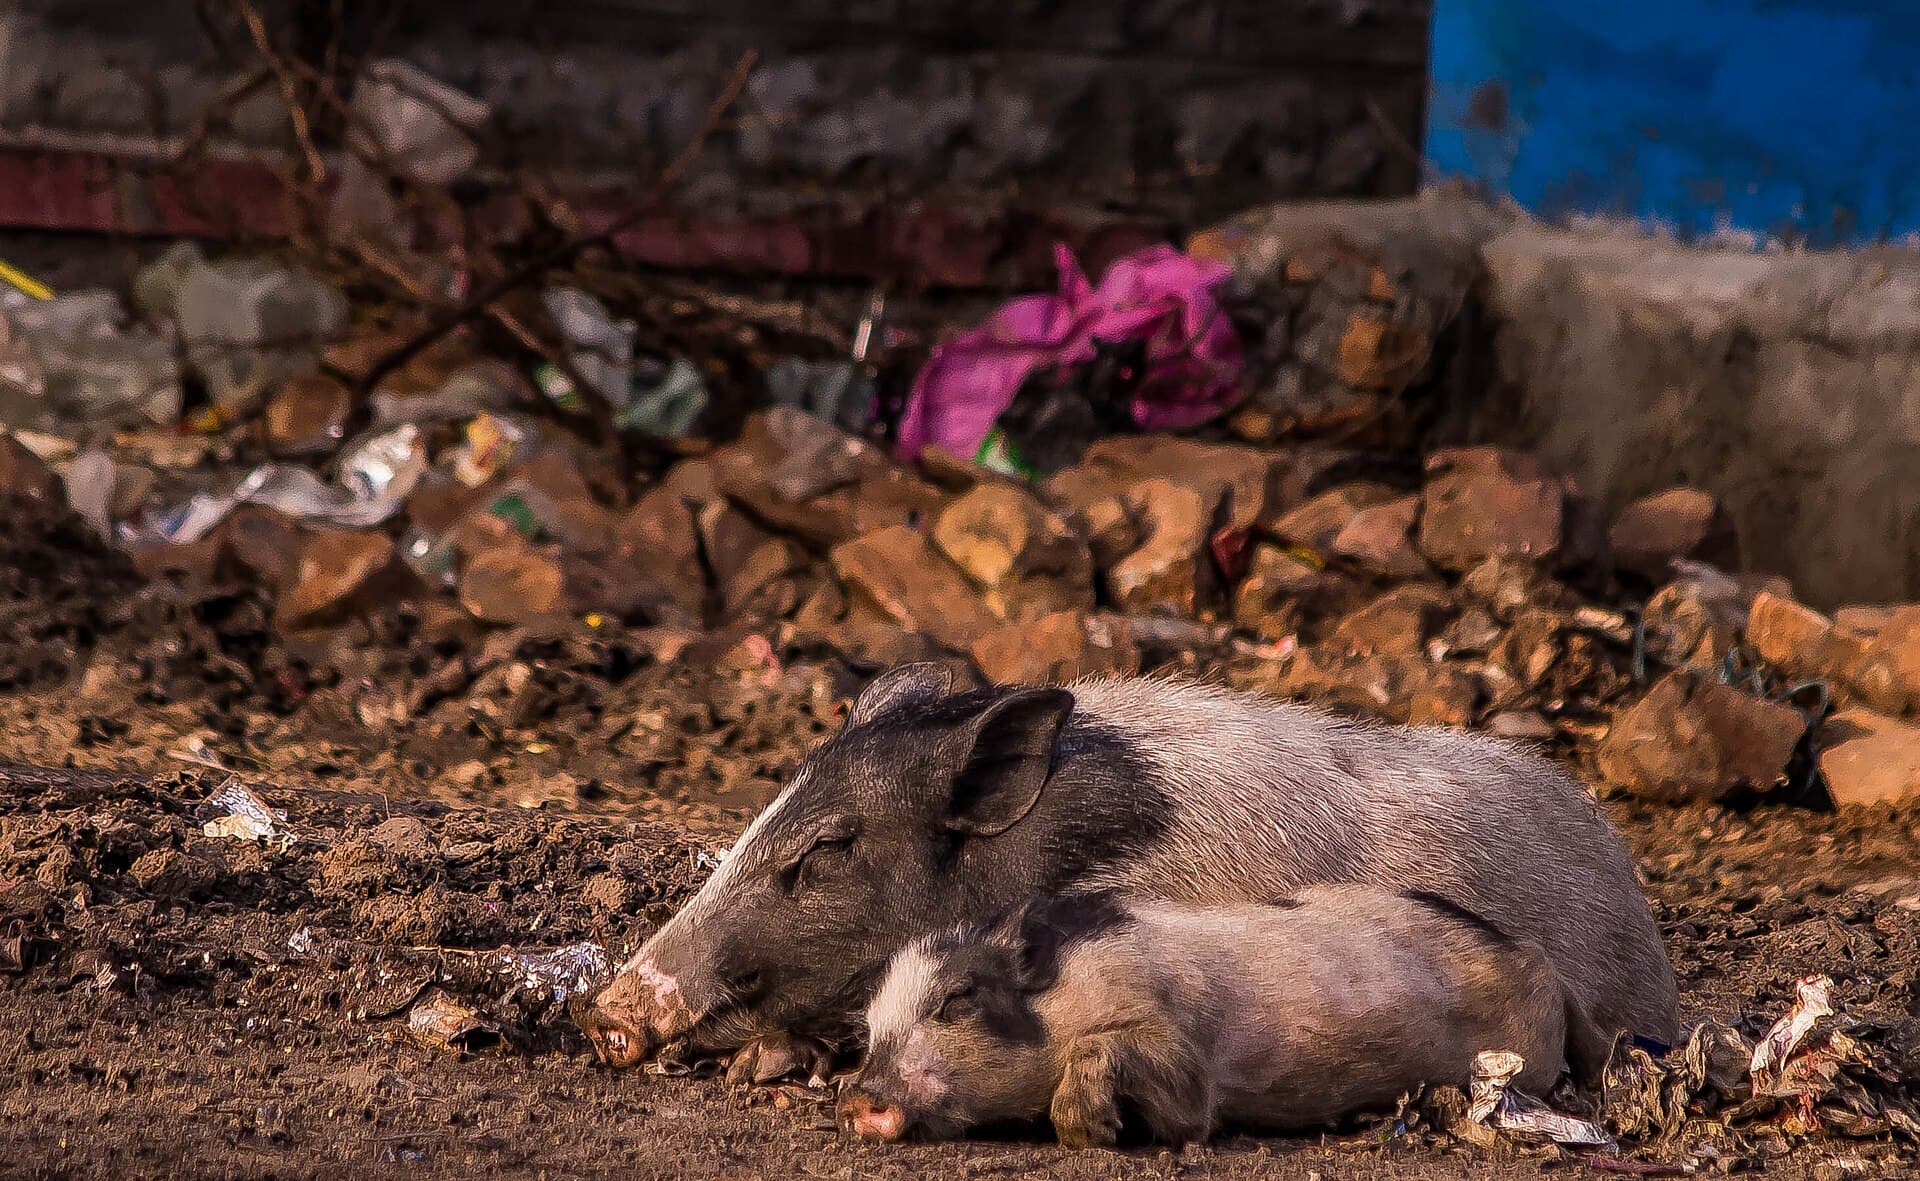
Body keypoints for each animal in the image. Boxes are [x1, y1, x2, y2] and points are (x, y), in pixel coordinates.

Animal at [840, 886, 1608, 1145]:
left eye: (957, 999)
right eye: (870, 1026)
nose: (857, 1097)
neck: (1064, 1002)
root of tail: (1537, 959)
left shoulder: (1183, 1052)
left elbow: (1175, 1099)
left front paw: (1091, 1133)